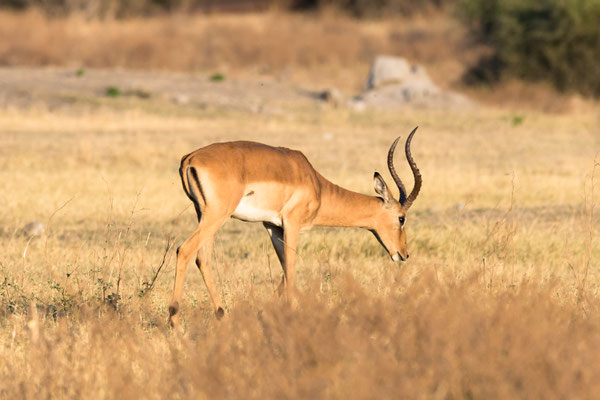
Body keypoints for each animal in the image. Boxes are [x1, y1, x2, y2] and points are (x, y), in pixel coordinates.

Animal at [169, 126, 422, 328]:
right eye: (401, 218)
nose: (404, 254)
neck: (317, 185)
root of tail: (190, 158)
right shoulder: (292, 224)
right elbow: (291, 267)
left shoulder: (273, 227)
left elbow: (283, 269)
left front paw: (263, 313)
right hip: (217, 215)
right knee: (184, 250)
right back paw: (175, 323)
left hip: (204, 214)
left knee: (202, 258)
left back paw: (222, 315)